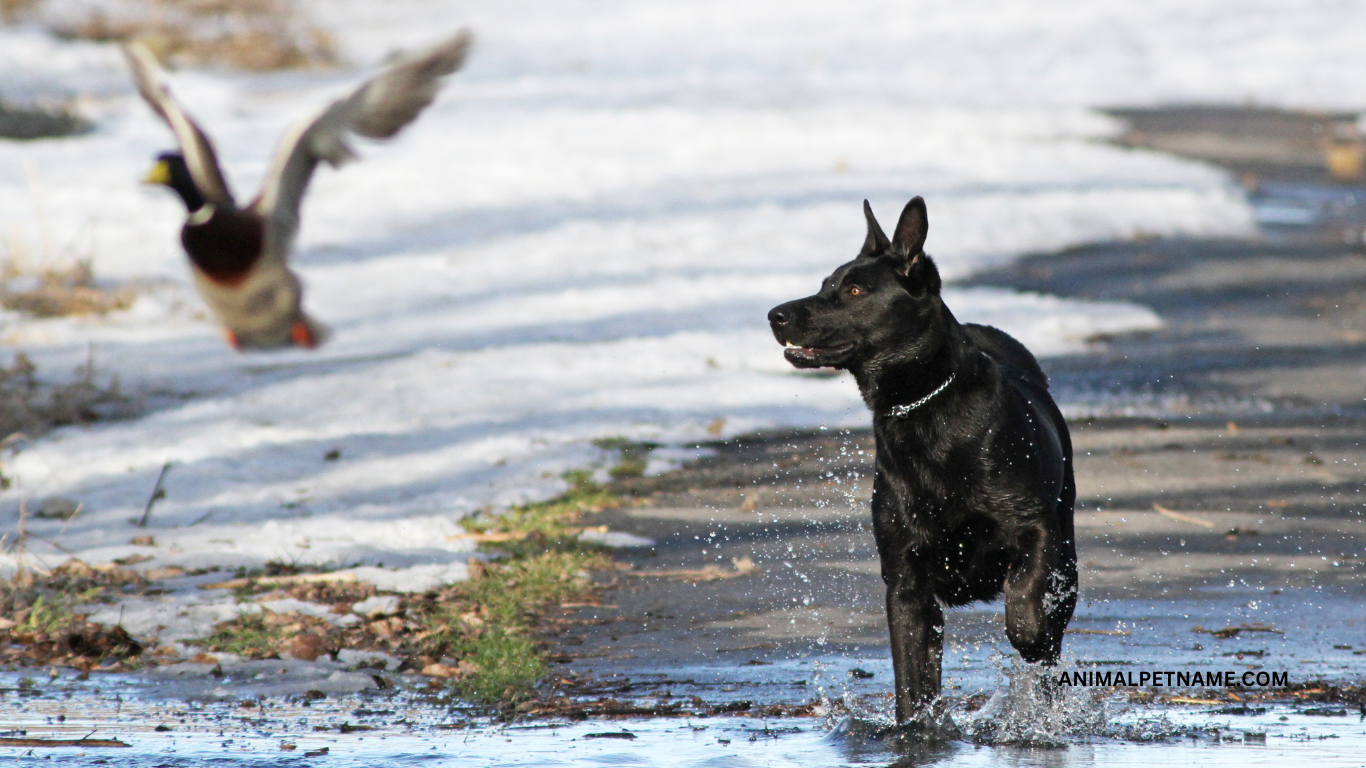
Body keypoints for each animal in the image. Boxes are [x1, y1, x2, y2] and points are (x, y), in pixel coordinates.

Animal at [770, 196, 1076, 721]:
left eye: (854, 289)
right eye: (826, 284)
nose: (775, 315)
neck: (922, 408)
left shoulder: (1035, 528)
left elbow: (1025, 599)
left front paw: (1028, 632)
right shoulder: (906, 581)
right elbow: (912, 676)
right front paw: (916, 727)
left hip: (1068, 554)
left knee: (1052, 634)